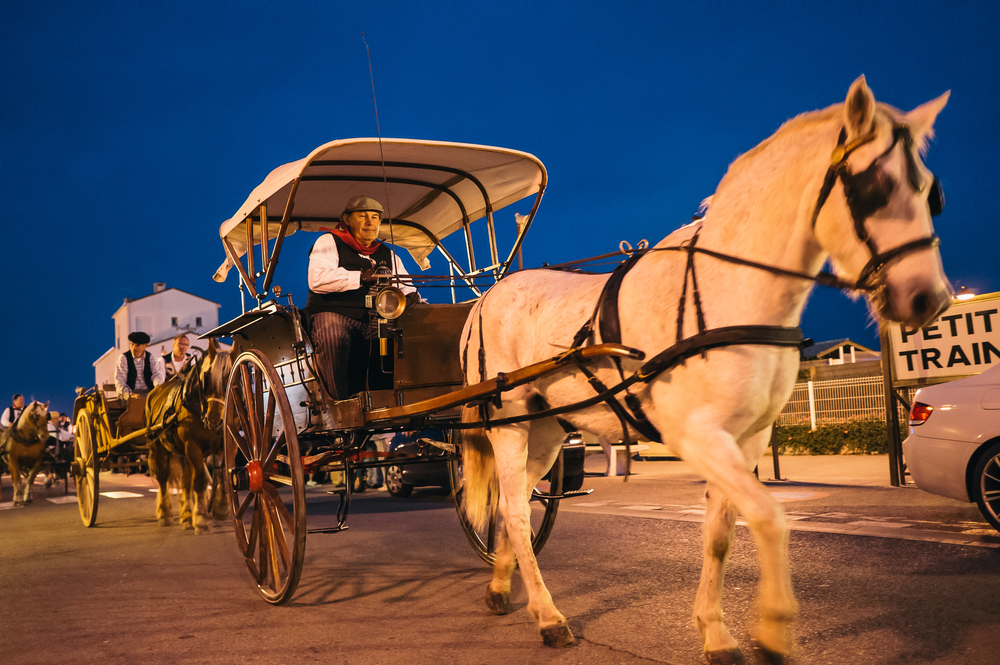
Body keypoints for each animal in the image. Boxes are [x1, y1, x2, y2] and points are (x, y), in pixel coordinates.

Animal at [146, 340, 231, 532]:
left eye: (232, 378)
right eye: (207, 377)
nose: (214, 420)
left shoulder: (229, 444)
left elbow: (223, 474)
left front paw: (221, 509)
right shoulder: (192, 445)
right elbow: (199, 480)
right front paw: (201, 518)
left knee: (185, 481)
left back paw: (186, 515)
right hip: (158, 447)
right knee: (163, 478)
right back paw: (165, 514)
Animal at [460, 75, 952, 660]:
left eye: (931, 192)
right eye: (874, 187)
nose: (929, 299)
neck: (733, 291)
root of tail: (486, 297)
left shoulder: (747, 439)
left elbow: (720, 532)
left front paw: (716, 632)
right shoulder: (697, 436)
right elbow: (769, 516)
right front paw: (773, 628)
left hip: (547, 429)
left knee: (512, 507)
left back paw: (500, 586)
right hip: (507, 421)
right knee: (514, 510)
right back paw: (548, 615)